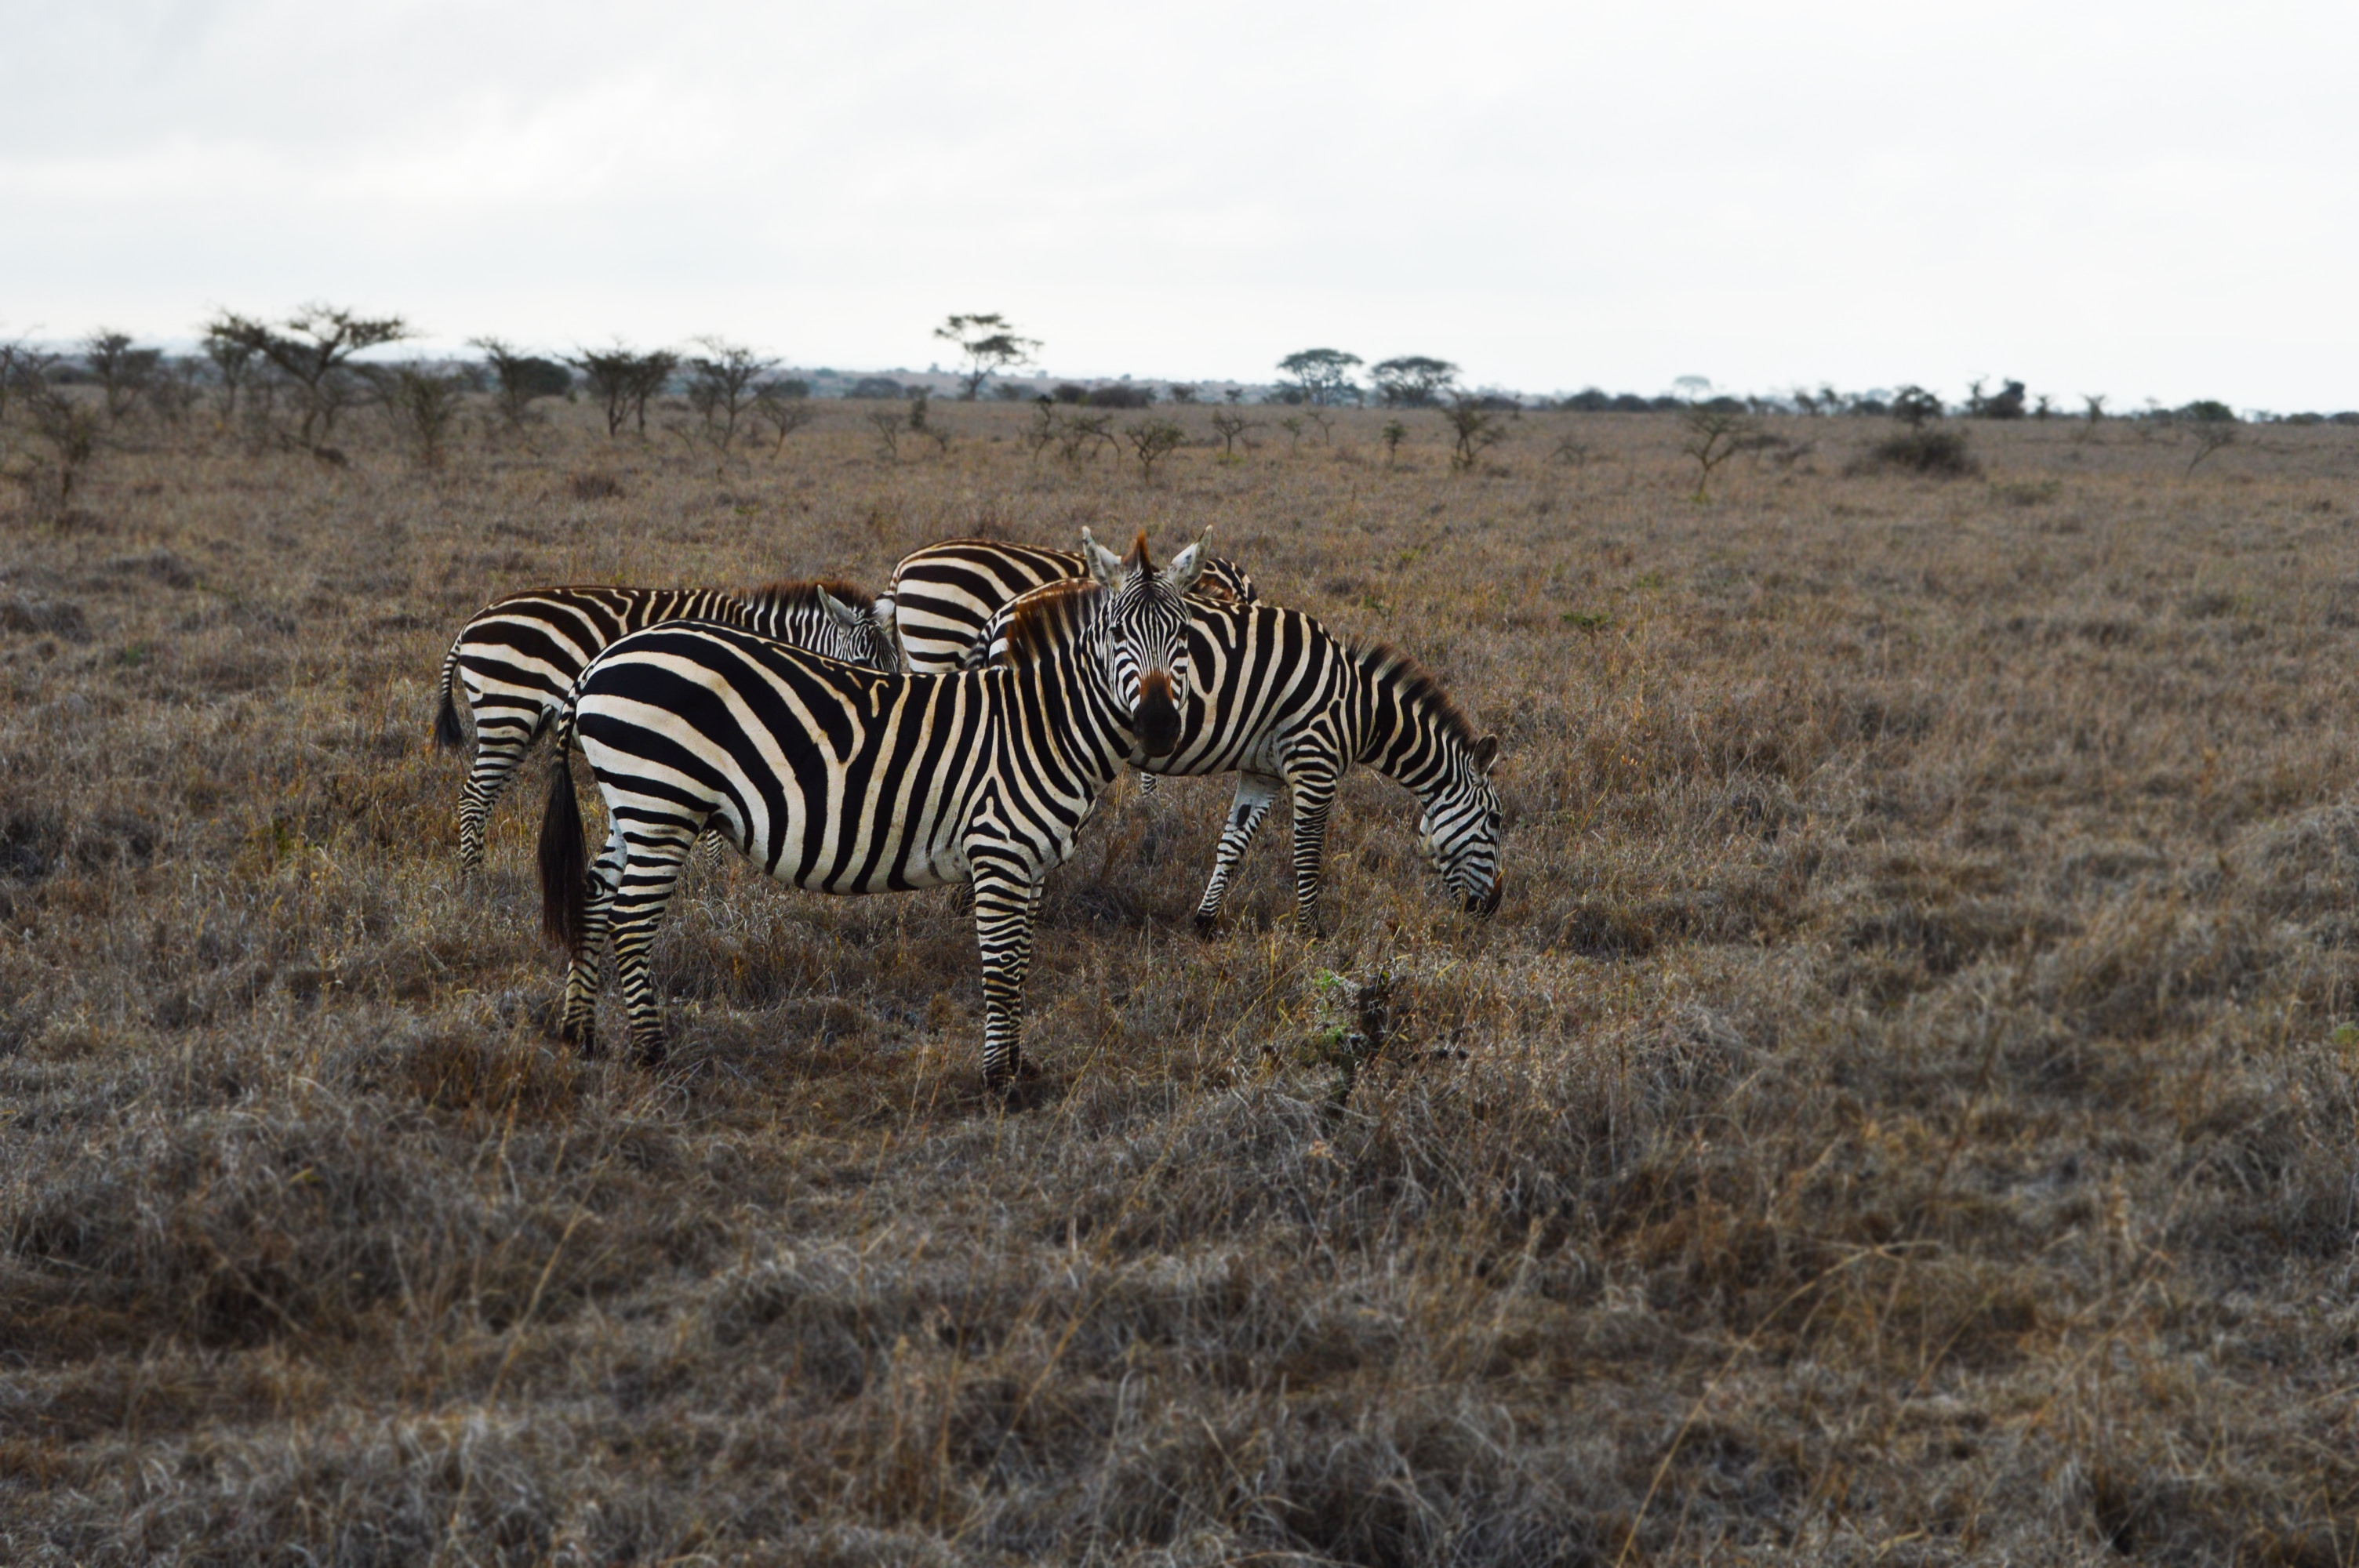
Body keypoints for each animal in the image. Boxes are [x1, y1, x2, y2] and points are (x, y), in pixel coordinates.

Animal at [429, 579, 896, 867]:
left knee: (483, 800)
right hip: (506, 716)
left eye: (896, 666)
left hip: (519, 726)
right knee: (473, 799)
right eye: (861, 663)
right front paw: (716, 884)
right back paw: (474, 882)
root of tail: (473, 623)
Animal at [540, 532, 1208, 1084]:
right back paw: (651, 1053)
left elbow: (1020, 964)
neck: (1041, 724)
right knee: (631, 919)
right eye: (1118, 636)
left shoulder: (1033, 862)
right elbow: (999, 968)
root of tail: (599, 664)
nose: (1158, 724)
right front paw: (999, 1081)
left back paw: (581, 1034)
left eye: (1182, 638)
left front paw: (1020, 1067)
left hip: (633, 804)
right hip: (662, 804)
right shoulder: (999, 853)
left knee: (594, 896)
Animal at [967, 586, 1500, 928]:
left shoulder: (1263, 774)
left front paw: (1205, 920)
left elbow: (1233, 844)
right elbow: (1308, 853)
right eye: (1495, 821)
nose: (1492, 908)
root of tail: (1002, 614)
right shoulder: (1316, 764)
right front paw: (1311, 932)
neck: (1359, 708)